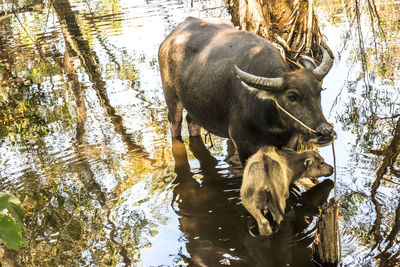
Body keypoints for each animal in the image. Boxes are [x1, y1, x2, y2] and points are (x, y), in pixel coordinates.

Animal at [158, 17, 336, 165]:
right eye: (291, 96)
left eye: (319, 90)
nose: (325, 132)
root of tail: (168, 40)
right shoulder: (243, 145)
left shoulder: (290, 143)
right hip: (171, 97)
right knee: (175, 124)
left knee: (192, 122)